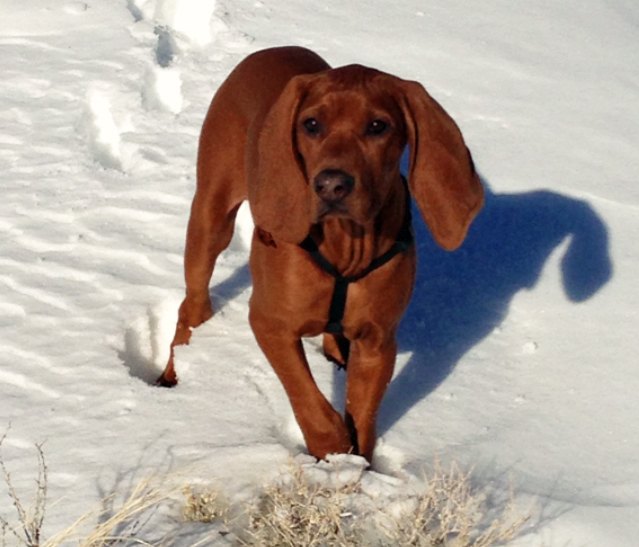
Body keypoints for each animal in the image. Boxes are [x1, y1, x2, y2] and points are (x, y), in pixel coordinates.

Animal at [158, 47, 482, 462]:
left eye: (378, 126)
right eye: (311, 124)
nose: (331, 185)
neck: (347, 246)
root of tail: (270, 50)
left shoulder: (378, 341)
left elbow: (363, 416)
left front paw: (357, 464)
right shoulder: (270, 323)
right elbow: (309, 400)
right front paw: (331, 452)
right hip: (211, 217)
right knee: (193, 303)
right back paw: (175, 368)